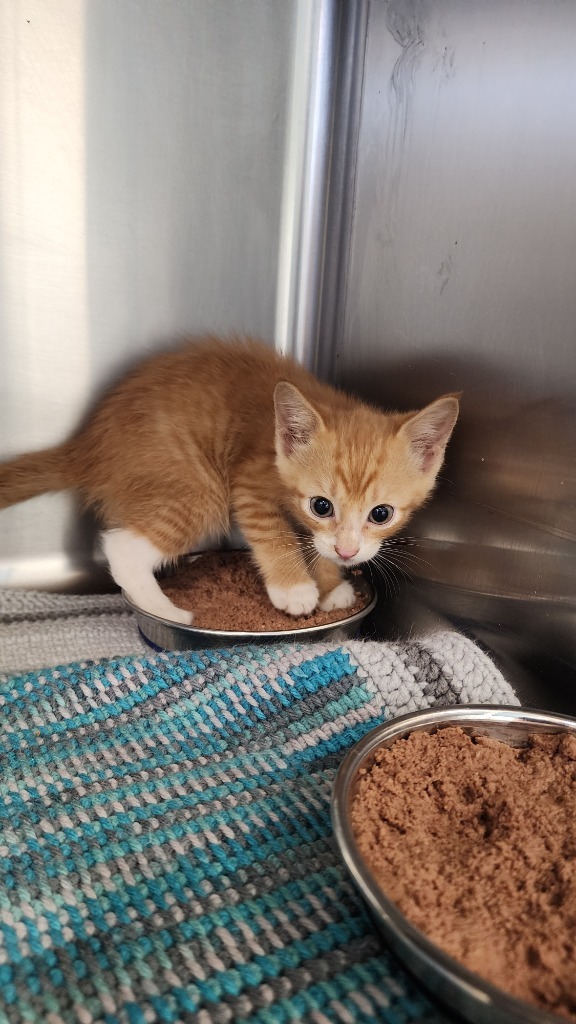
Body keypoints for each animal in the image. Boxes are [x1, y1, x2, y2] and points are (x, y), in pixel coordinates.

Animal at [0, 337, 457, 622]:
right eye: (321, 505)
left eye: (381, 514)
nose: (348, 552)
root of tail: (87, 444)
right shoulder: (250, 480)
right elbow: (276, 532)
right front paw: (296, 589)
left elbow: (316, 543)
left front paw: (331, 584)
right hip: (197, 489)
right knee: (123, 546)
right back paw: (166, 610)